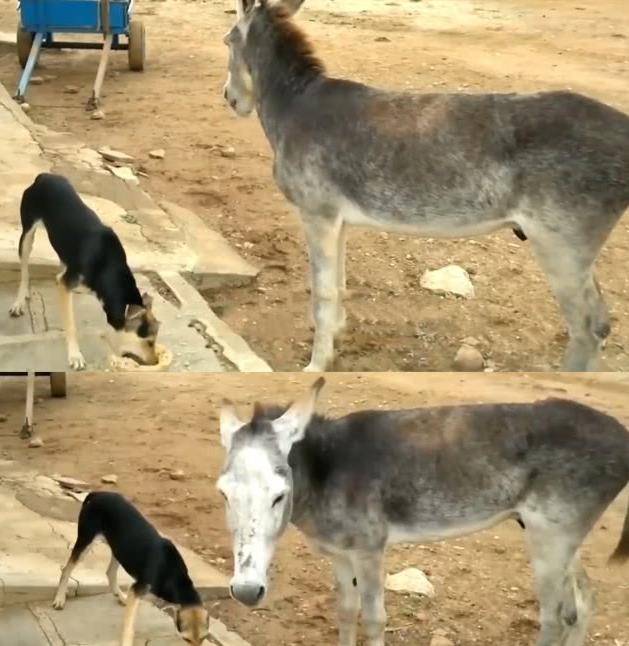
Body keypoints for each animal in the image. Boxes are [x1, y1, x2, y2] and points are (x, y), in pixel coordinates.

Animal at [8, 173, 161, 370]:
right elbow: (71, 324)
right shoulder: (67, 284)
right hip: (27, 232)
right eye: (149, 341)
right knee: (25, 270)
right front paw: (75, 355)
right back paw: (20, 300)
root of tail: (45, 176)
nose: (156, 361)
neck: (107, 269)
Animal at [51, 494, 209, 644]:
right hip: (86, 540)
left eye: (204, 638)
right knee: (66, 569)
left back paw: (121, 596)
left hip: (120, 549)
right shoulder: (137, 589)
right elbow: (129, 625)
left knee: (110, 572)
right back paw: (59, 599)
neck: (173, 576)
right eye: (186, 639)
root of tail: (97, 494)